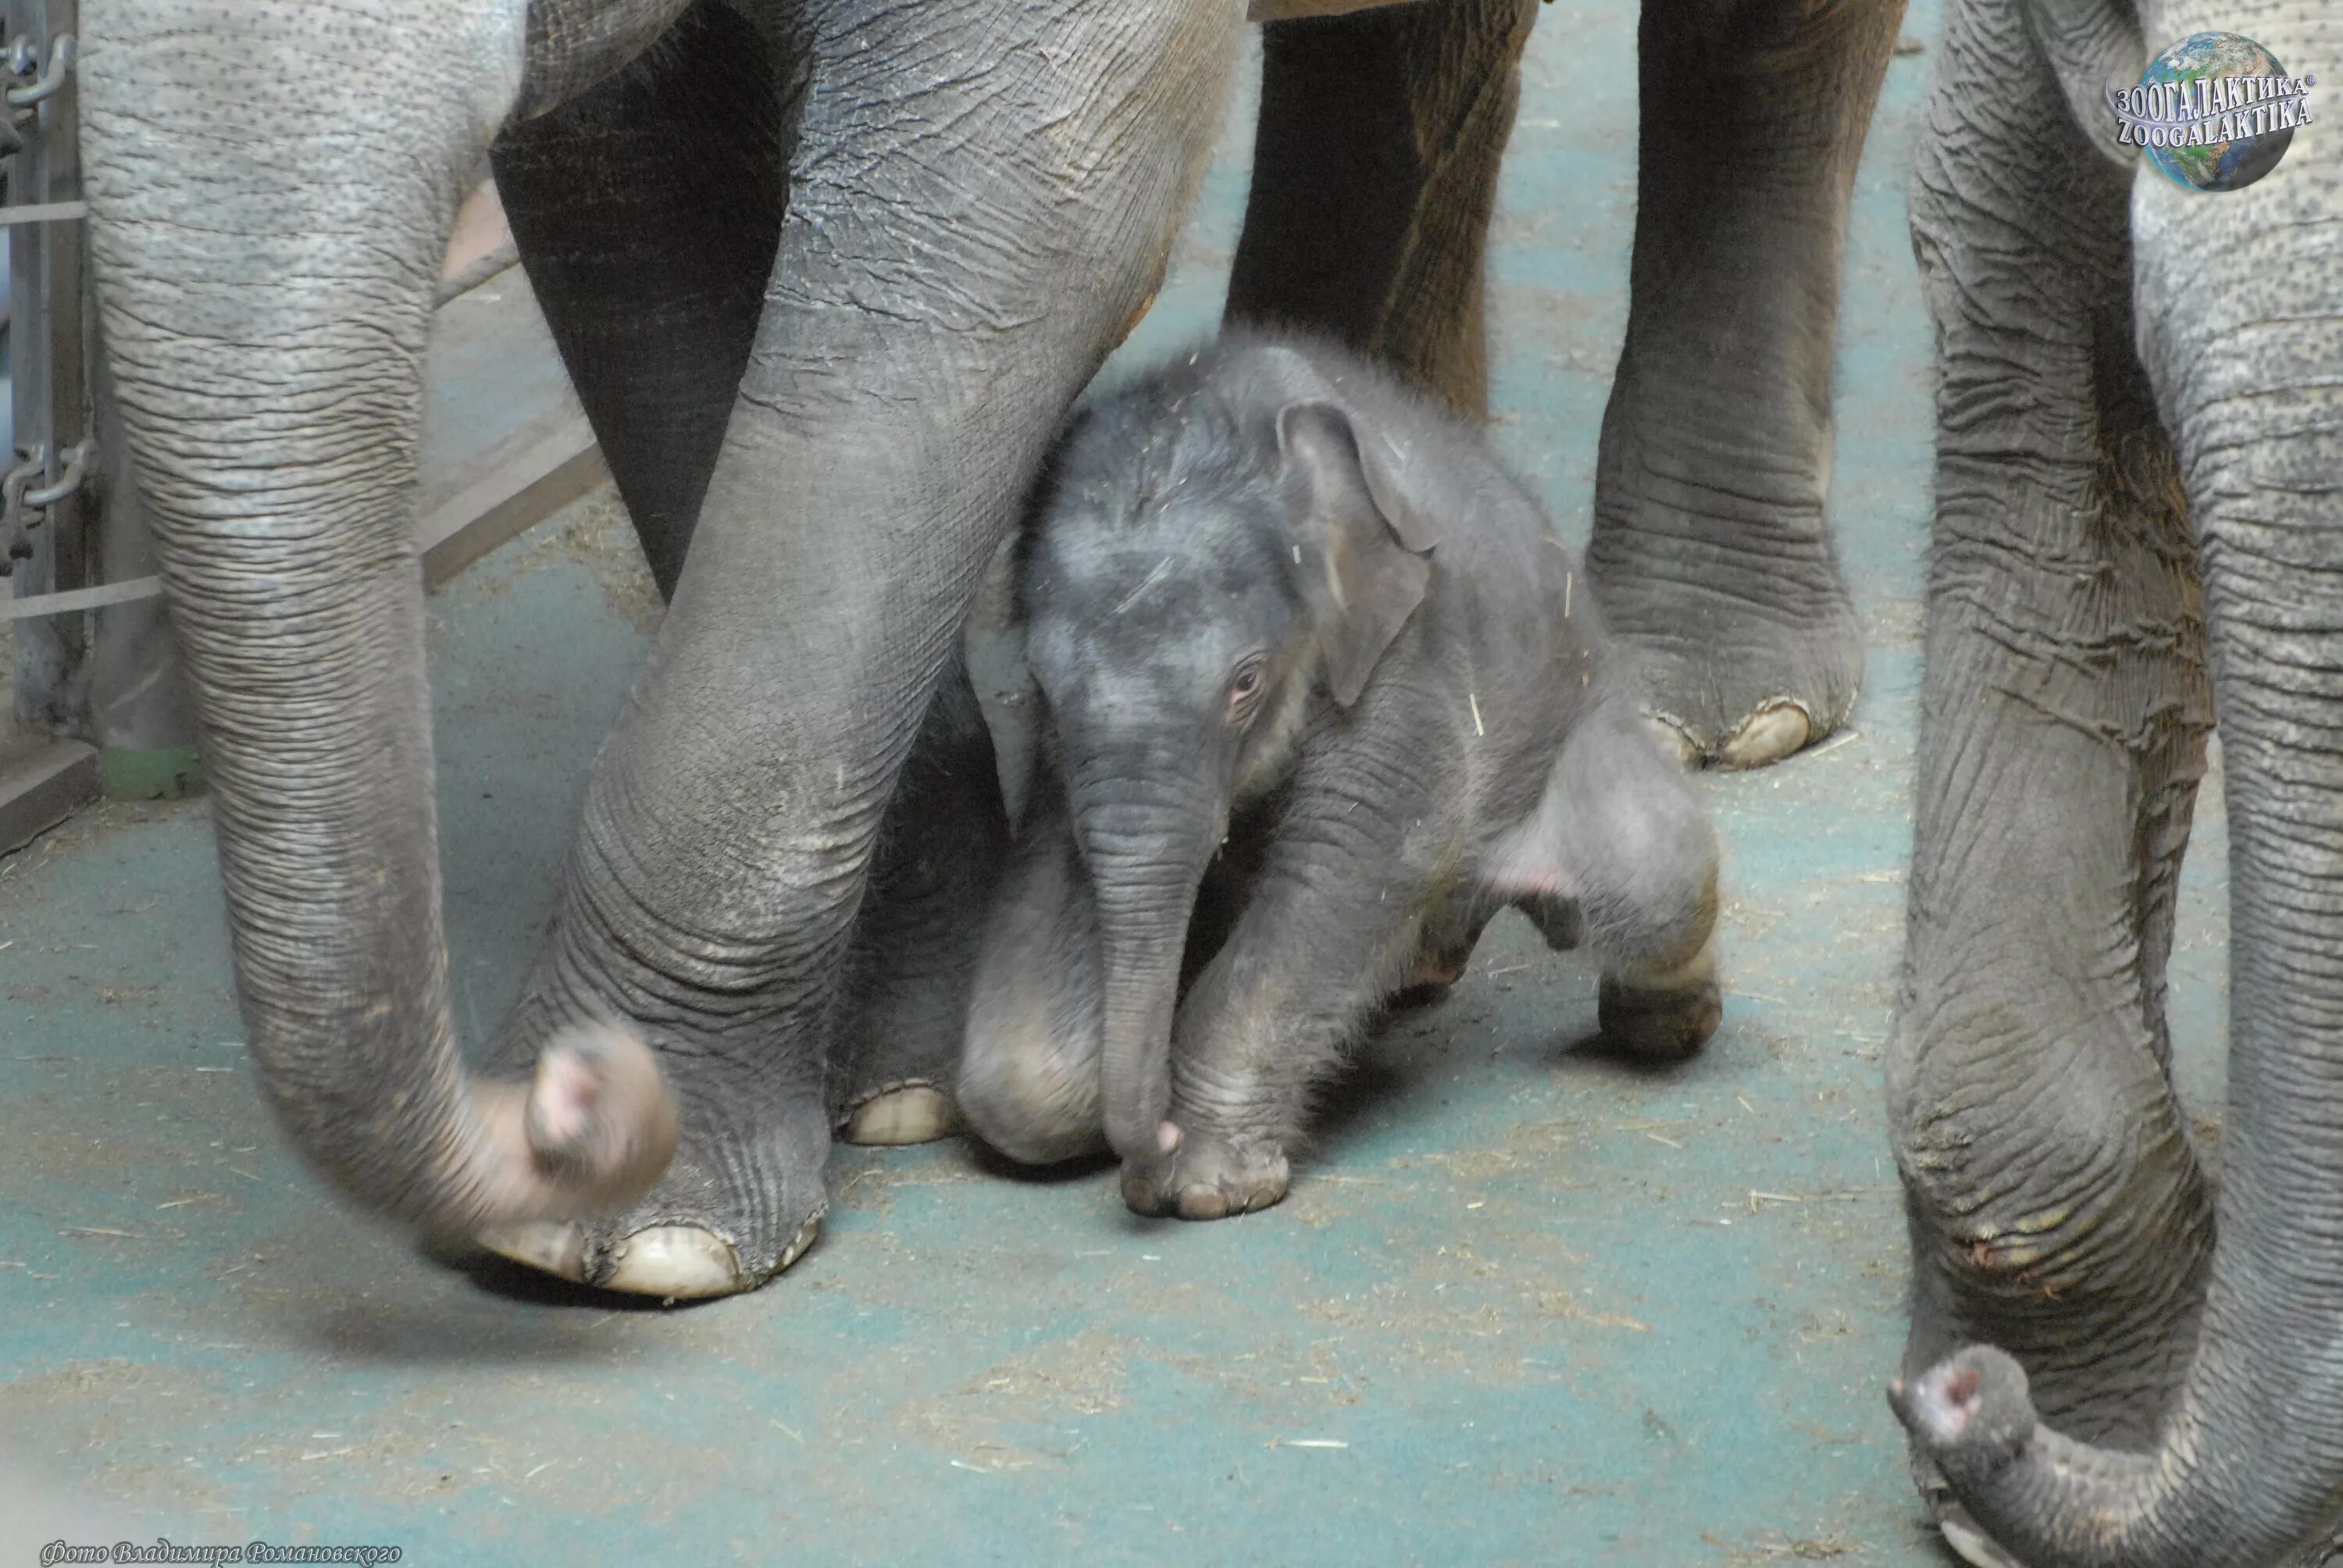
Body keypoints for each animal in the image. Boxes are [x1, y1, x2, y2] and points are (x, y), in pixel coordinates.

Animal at [956, 337, 1724, 1218]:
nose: (1158, 1140)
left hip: (1580, 731)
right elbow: (1021, 1055)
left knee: (1657, 874)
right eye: (1042, 684)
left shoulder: (1405, 654)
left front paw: (1207, 1187)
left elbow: (1363, 856)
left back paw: (1669, 1025)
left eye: (1245, 683)